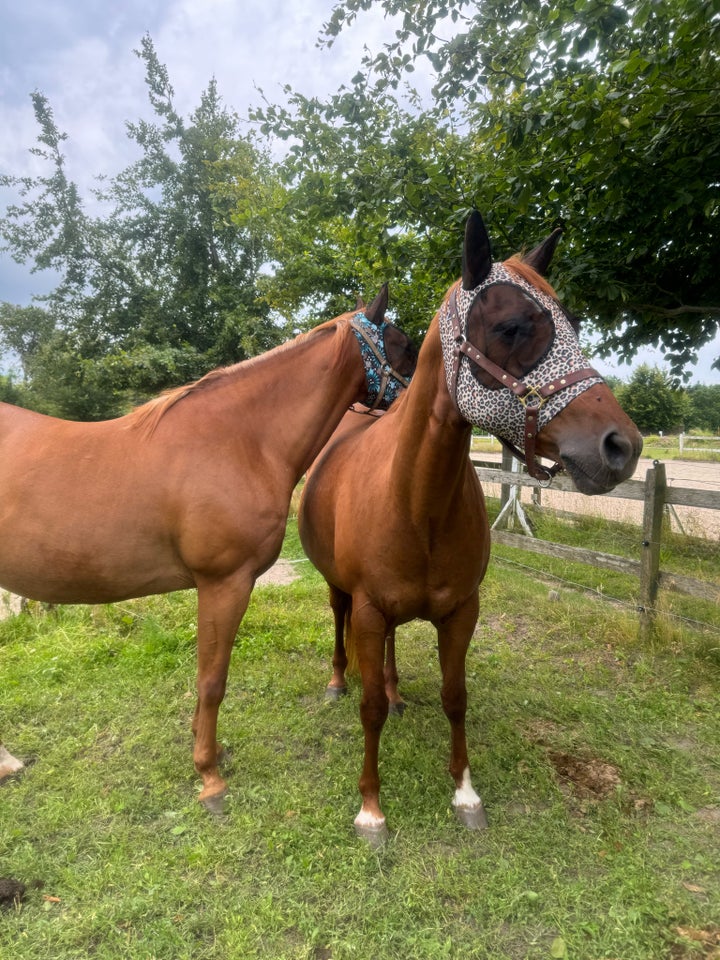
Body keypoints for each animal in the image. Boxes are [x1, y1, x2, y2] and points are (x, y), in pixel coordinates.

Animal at [0, 288, 416, 808]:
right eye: (403, 344)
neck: (240, 439)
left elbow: (205, 679)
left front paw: (208, 750)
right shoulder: (225, 584)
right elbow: (212, 680)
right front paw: (210, 777)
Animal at [298, 214, 640, 844]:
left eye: (575, 326)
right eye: (511, 327)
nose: (621, 447)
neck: (417, 502)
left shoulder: (461, 612)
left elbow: (456, 697)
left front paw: (465, 793)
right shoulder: (368, 610)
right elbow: (369, 712)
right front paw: (371, 808)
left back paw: (396, 689)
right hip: (341, 595)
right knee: (338, 626)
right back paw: (339, 681)